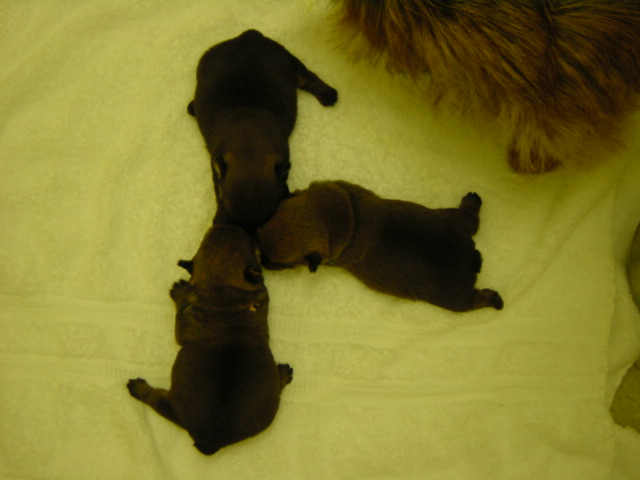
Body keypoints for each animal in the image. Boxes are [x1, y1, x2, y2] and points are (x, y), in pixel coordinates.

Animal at [127, 223, 293, 455]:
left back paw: (138, 388)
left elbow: (182, 307)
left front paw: (181, 290)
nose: (228, 223)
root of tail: (210, 442)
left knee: (153, 399)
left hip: (170, 405)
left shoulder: (184, 322)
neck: (225, 293)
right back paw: (283, 375)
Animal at [188, 29, 338, 228]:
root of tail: (249, 35)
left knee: (307, 77)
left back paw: (328, 94)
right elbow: (217, 193)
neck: (248, 139)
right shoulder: (216, 173)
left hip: (289, 61)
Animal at [256, 181, 503, 312]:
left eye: (280, 264)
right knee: (470, 219)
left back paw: (494, 299)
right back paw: (472, 202)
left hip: (452, 298)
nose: (261, 261)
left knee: (473, 301)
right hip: (452, 220)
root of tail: (471, 258)